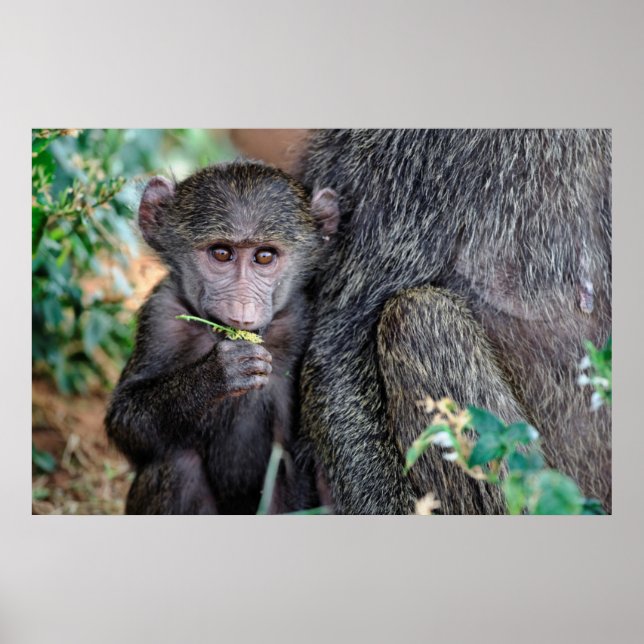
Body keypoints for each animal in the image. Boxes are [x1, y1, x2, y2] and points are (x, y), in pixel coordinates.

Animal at [105, 162, 339, 514]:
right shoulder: (161, 315)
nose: (241, 308)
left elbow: (294, 461)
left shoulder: (301, 321)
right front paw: (217, 374)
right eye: (221, 253)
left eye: (265, 256)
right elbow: (125, 421)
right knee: (178, 463)